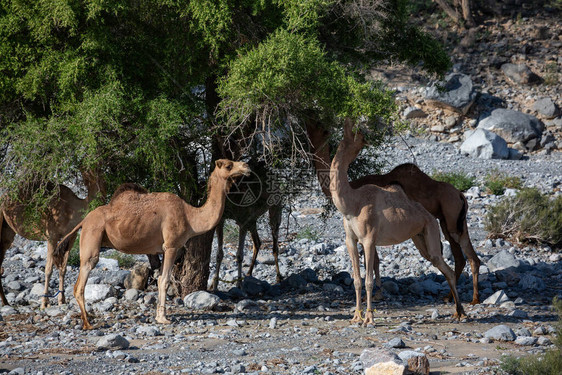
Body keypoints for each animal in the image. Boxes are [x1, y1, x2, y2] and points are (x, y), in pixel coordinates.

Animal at [0, 173, 104, 308]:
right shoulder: (51, 236)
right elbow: (48, 269)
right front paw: (44, 303)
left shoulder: (71, 237)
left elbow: (63, 268)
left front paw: (61, 300)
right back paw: (5, 302)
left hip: (7, 232)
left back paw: (5, 302)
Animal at [55, 160, 249, 330]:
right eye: (228, 165)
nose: (246, 166)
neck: (190, 217)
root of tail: (83, 221)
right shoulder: (171, 246)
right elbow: (165, 280)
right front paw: (163, 318)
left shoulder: (163, 249)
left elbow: (161, 277)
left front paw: (158, 316)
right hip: (92, 236)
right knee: (80, 284)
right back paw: (88, 324)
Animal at [308, 123, 480, 306]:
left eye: (323, 131)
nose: (311, 147)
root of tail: (460, 194)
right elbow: (372, 262)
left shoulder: (370, 232)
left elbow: (373, 262)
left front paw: (376, 294)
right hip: (449, 223)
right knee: (463, 256)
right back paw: (456, 297)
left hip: (451, 220)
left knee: (463, 255)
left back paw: (469, 299)